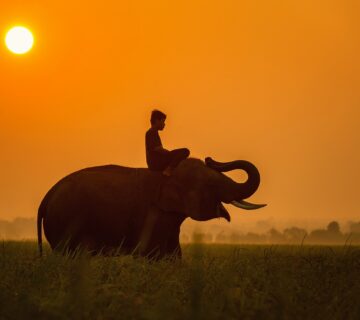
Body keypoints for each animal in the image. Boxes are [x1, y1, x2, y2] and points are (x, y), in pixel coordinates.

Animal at [38, 158, 266, 260]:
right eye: (211, 184)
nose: (211, 159)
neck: (169, 174)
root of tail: (47, 195)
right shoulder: (152, 214)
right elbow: (155, 254)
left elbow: (174, 255)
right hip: (64, 223)